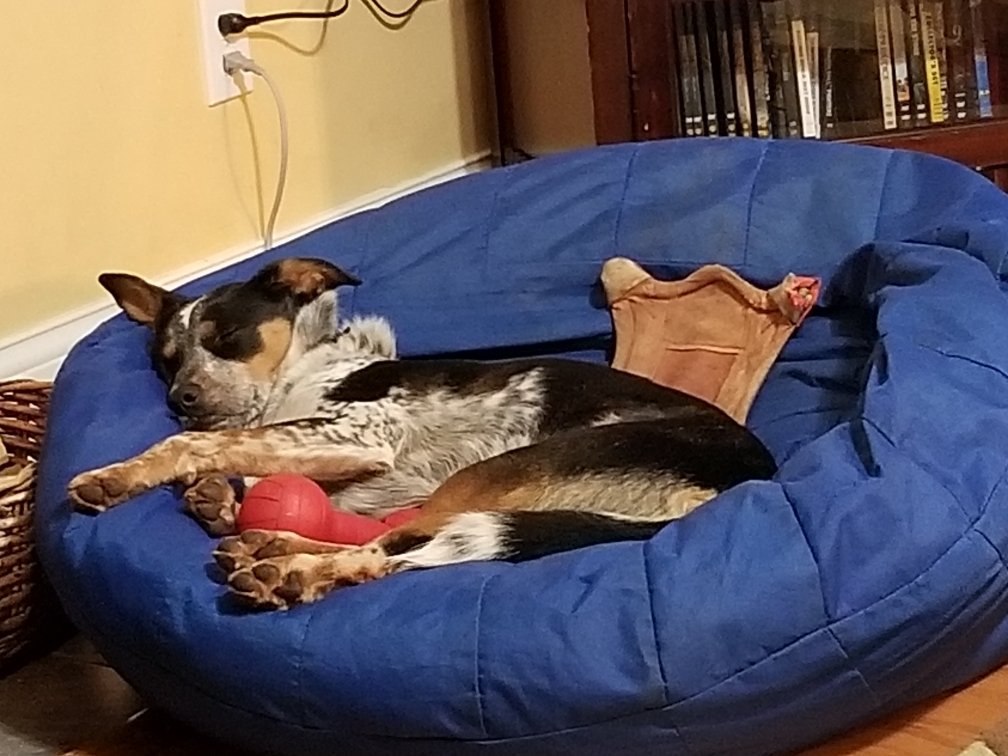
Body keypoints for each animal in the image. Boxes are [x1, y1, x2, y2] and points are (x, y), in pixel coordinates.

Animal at [67, 258, 776, 609]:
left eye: (227, 339)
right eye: (167, 358)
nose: (179, 399)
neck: (307, 365)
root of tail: (742, 480)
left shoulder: (357, 435)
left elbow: (193, 445)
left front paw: (116, 477)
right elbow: (236, 459)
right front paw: (216, 499)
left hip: (499, 471)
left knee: (399, 552)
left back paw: (287, 568)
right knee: (400, 541)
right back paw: (268, 547)